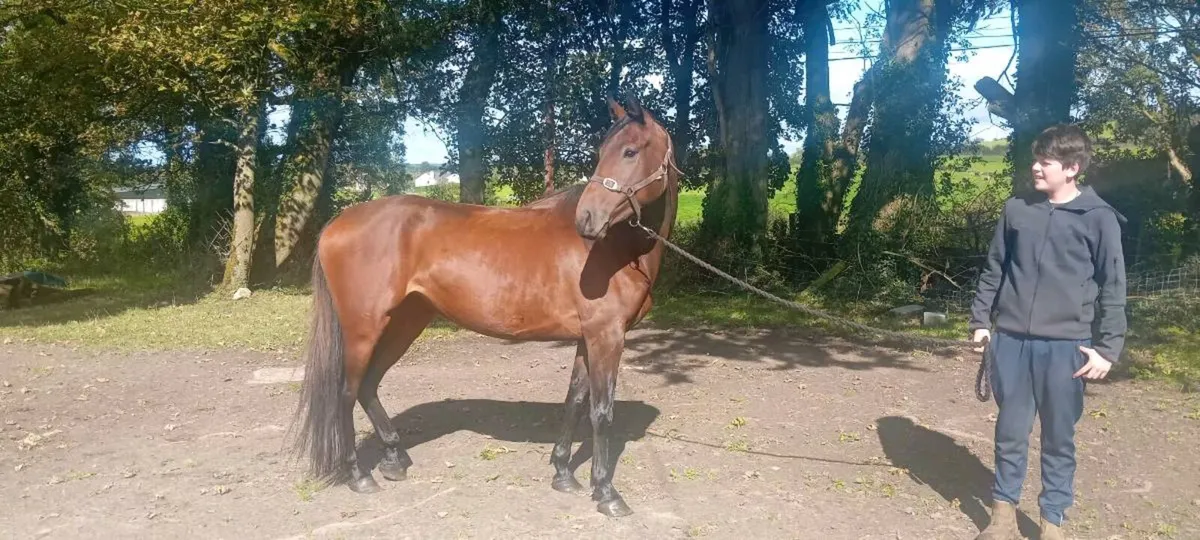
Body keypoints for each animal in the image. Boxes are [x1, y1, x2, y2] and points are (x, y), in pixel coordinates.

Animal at [290, 93, 680, 517]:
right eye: (602, 151)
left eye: (629, 151)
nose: (587, 220)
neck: (616, 251)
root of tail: (337, 223)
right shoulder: (606, 337)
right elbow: (602, 411)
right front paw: (607, 492)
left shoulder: (587, 338)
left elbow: (575, 401)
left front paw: (563, 472)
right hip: (364, 329)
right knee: (347, 393)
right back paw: (359, 475)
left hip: (406, 322)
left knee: (369, 386)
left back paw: (394, 458)